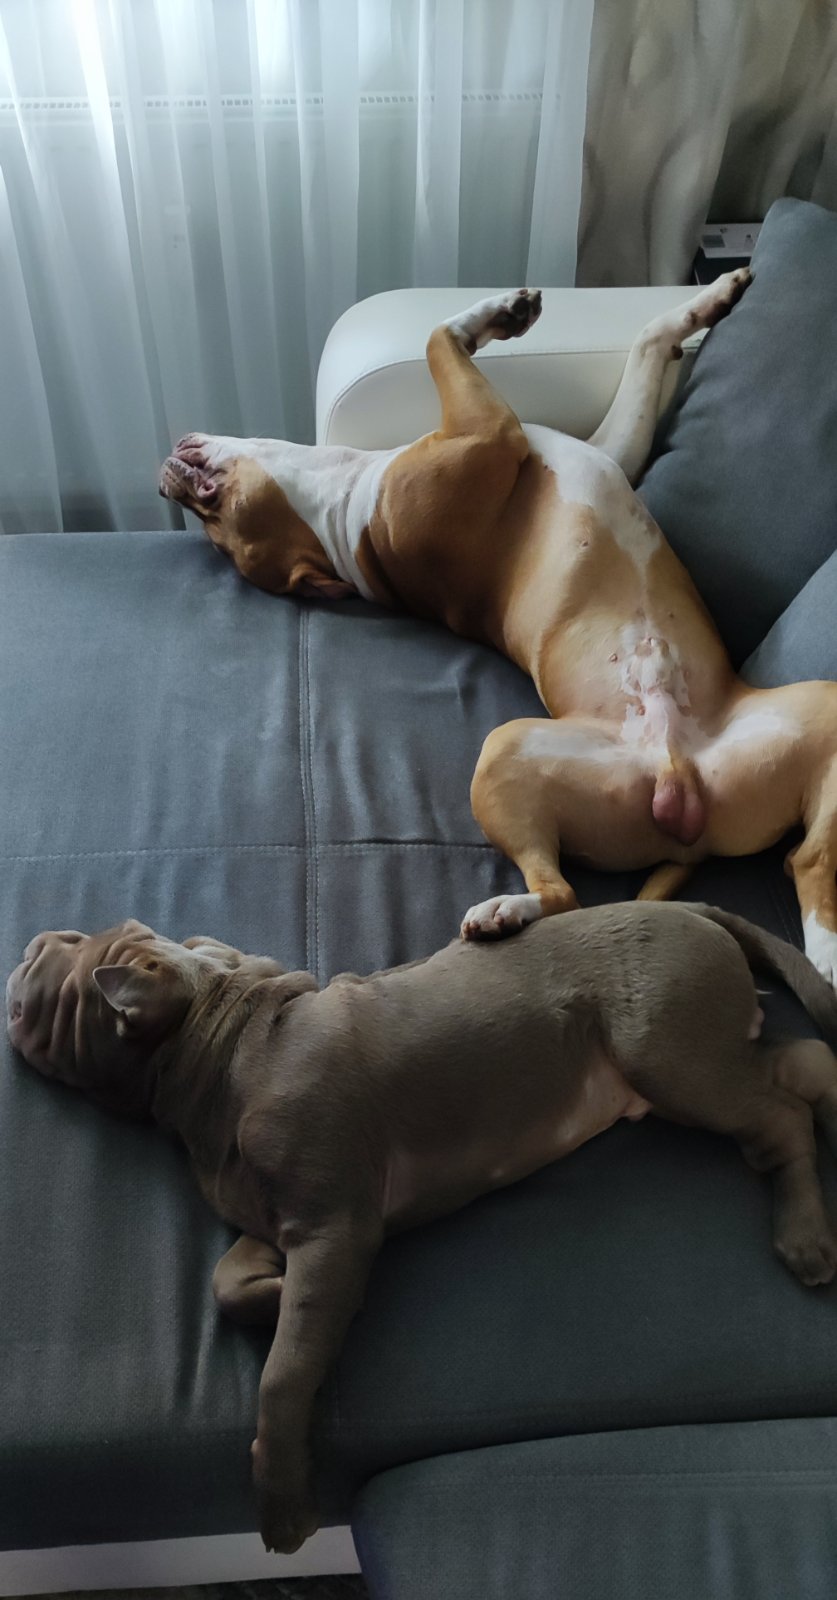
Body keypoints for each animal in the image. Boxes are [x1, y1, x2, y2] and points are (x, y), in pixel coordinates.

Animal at [8, 902, 837, 1552]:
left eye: (75, 950)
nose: (33, 939)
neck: (220, 1042)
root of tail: (690, 909)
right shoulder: (276, 1226)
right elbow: (227, 1282)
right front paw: (283, 1303)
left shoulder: (332, 1225)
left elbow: (283, 1372)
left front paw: (283, 1498)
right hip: (698, 1056)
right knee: (800, 1063)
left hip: (665, 1051)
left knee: (778, 1117)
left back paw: (804, 1234)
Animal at [159, 276, 837, 985]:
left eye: (212, 516)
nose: (164, 482)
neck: (338, 521)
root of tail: (677, 778)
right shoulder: (491, 430)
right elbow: (438, 337)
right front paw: (501, 313)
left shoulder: (605, 448)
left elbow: (648, 347)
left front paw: (706, 304)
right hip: (503, 752)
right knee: (566, 892)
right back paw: (506, 911)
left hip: (820, 713)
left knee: (807, 861)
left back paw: (825, 951)